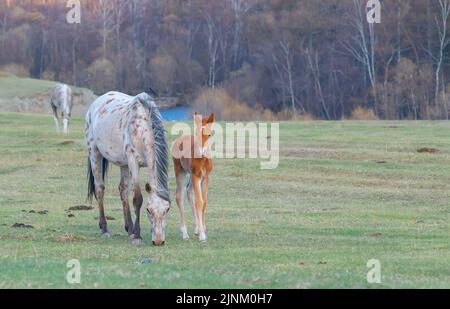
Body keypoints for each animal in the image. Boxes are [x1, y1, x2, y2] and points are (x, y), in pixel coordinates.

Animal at [85, 91, 170, 245]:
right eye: (148, 210)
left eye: (167, 209)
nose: (159, 241)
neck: (142, 127)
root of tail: (95, 103)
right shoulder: (133, 162)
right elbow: (137, 199)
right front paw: (137, 237)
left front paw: (134, 232)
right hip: (94, 153)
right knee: (100, 189)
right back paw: (104, 229)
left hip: (123, 164)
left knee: (123, 190)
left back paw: (129, 228)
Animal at [171, 112, 215, 242]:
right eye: (196, 134)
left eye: (209, 134)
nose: (201, 151)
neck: (203, 160)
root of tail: (177, 140)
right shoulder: (196, 176)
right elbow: (199, 202)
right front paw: (202, 235)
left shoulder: (205, 178)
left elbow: (204, 201)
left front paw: (202, 228)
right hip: (180, 172)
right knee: (179, 196)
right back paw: (184, 233)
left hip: (190, 174)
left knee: (189, 192)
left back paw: (195, 228)